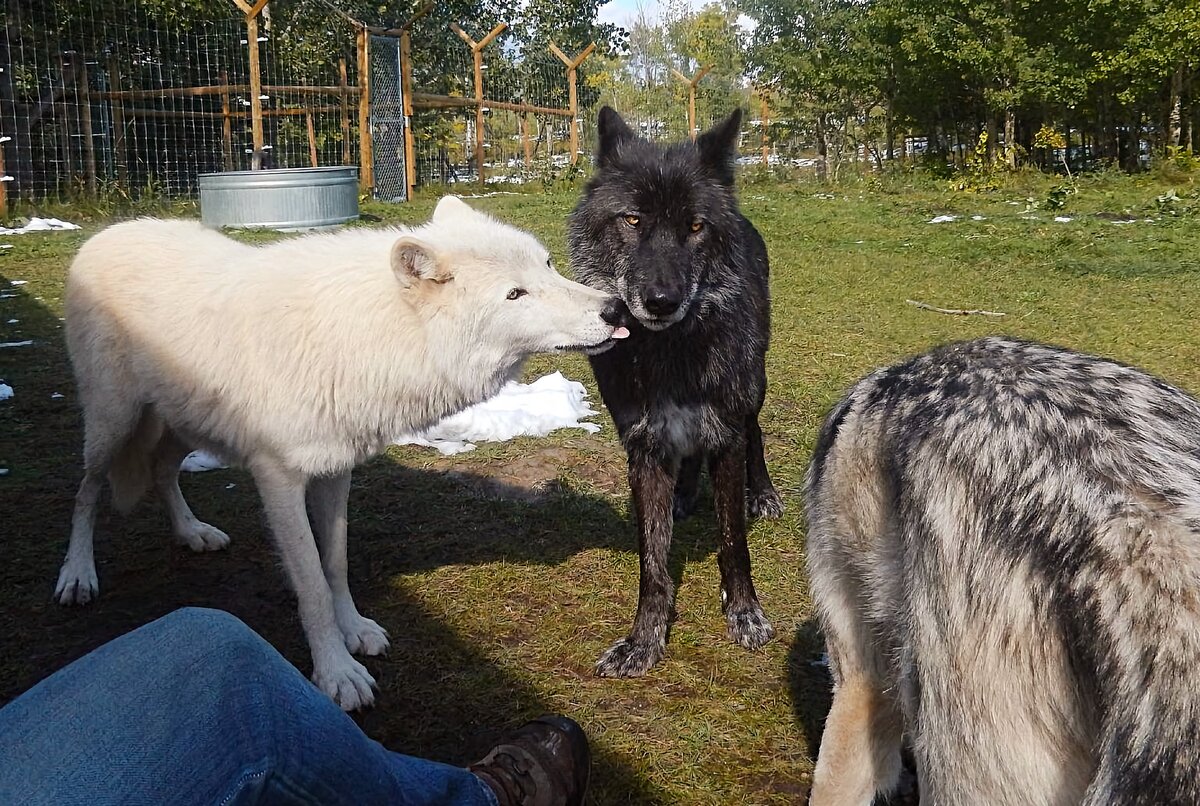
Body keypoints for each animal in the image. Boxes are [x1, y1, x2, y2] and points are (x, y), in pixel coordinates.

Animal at [54, 197, 628, 710]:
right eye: (515, 293)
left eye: (547, 264)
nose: (614, 308)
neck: (364, 335)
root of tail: (108, 234)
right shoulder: (279, 478)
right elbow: (310, 581)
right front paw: (336, 673)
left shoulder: (336, 471)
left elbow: (336, 562)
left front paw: (354, 630)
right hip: (112, 424)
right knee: (85, 491)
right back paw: (77, 575)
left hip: (185, 424)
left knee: (160, 469)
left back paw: (192, 532)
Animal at [566, 105, 782, 671]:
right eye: (633, 220)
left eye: (695, 226)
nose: (661, 301)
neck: (671, 355)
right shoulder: (643, 447)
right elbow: (652, 560)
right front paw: (643, 638)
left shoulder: (726, 432)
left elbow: (733, 542)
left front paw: (744, 613)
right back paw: (685, 492)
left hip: (754, 385)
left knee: (756, 432)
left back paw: (763, 492)